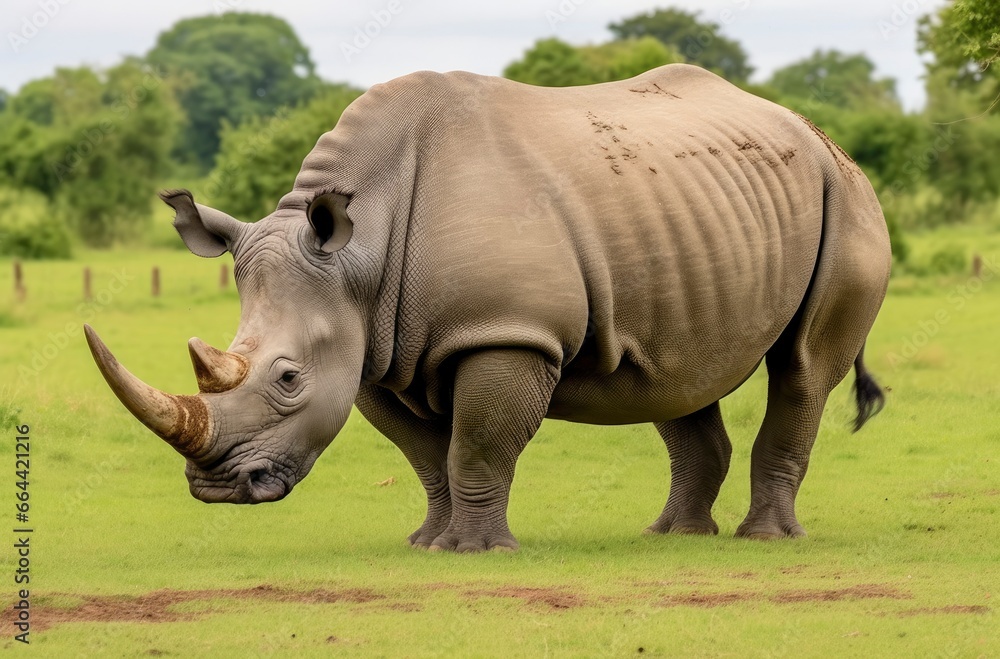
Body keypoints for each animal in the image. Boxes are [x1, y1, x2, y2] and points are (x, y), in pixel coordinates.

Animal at [86, 64, 890, 552]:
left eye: (287, 379)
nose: (218, 489)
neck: (359, 254)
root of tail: (818, 133)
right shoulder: (373, 349)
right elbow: (425, 454)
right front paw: (427, 543)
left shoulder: (506, 333)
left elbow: (476, 441)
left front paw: (475, 550)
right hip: (697, 213)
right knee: (682, 370)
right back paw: (671, 536)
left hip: (846, 199)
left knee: (803, 369)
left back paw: (765, 539)